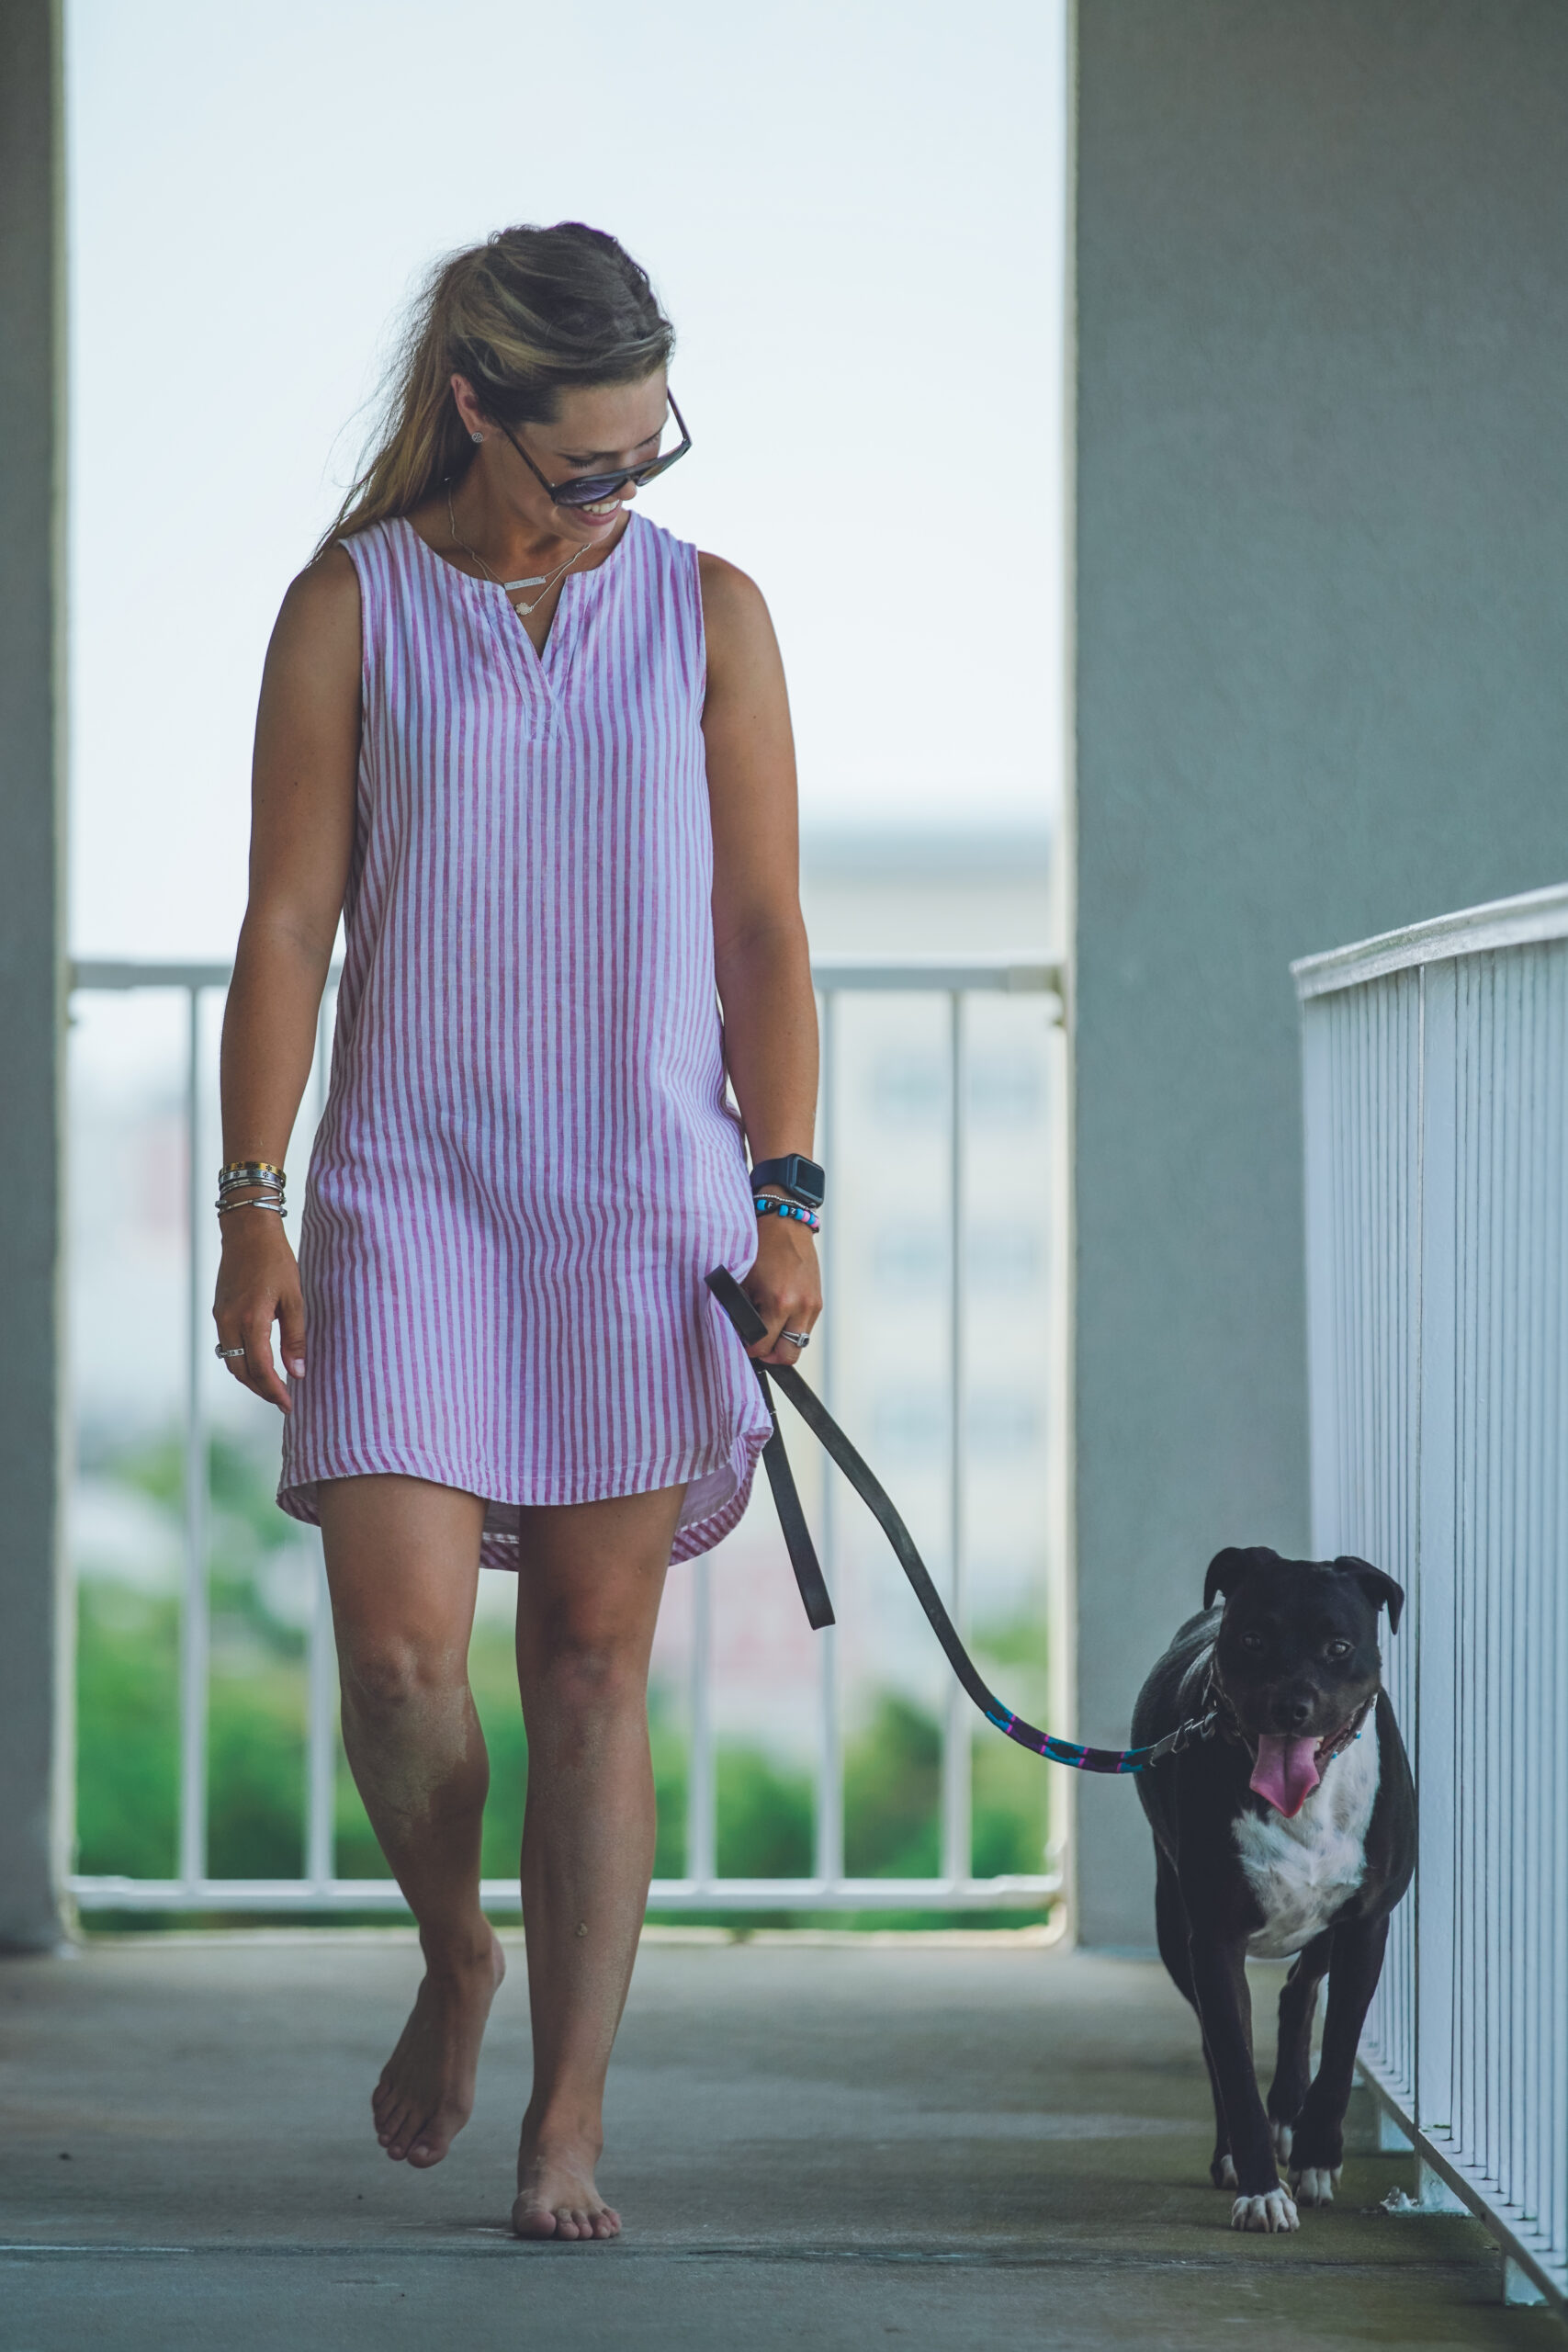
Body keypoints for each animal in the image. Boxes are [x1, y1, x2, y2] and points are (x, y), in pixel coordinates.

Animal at [1133, 1552, 1419, 2229]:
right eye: (1252, 1641)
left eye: (1337, 1646)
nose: (1291, 1706)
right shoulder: (1211, 1940)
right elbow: (1233, 2060)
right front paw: (1261, 2187)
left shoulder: (1365, 1925)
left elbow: (1339, 2048)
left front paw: (1316, 2155)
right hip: (1173, 1927)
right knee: (1217, 2037)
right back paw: (1237, 2152)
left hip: (1325, 1927)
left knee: (1299, 1989)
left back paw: (1290, 2112)